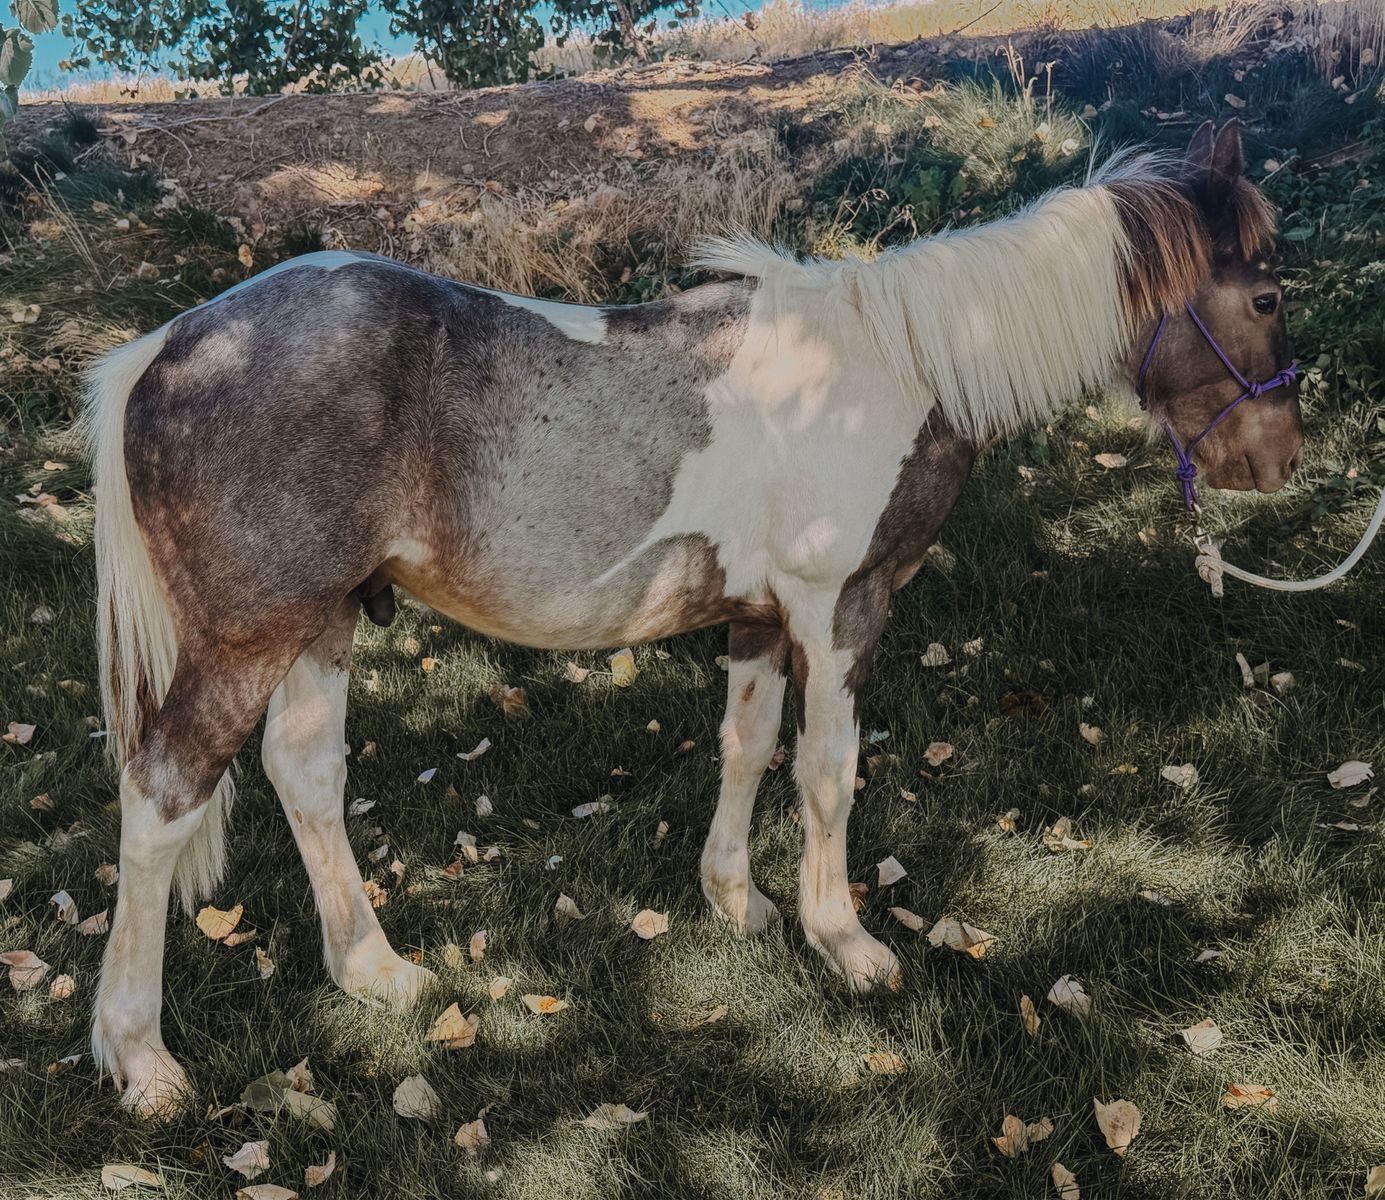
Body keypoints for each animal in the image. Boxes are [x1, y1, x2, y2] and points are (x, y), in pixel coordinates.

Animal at [83, 119, 1302, 1116]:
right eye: (1265, 297)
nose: (1278, 460)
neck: (897, 363)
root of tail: (165, 350)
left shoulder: (760, 618)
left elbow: (747, 743)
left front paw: (738, 901)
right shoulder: (838, 608)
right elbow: (826, 771)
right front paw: (842, 940)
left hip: (321, 623)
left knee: (304, 776)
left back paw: (375, 972)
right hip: (245, 642)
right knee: (160, 800)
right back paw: (140, 1059)